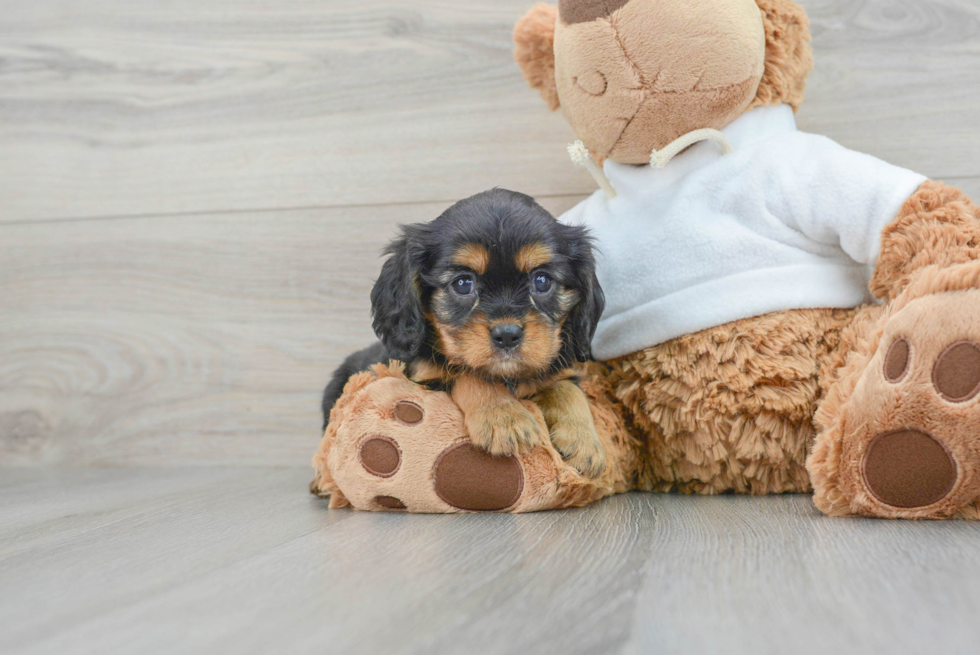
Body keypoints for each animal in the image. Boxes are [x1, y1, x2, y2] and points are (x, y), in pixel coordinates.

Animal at [326, 188, 608, 476]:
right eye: (463, 284)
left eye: (541, 281)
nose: (507, 335)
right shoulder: (424, 379)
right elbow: (470, 375)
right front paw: (504, 417)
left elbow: (568, 389)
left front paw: (584, 441)